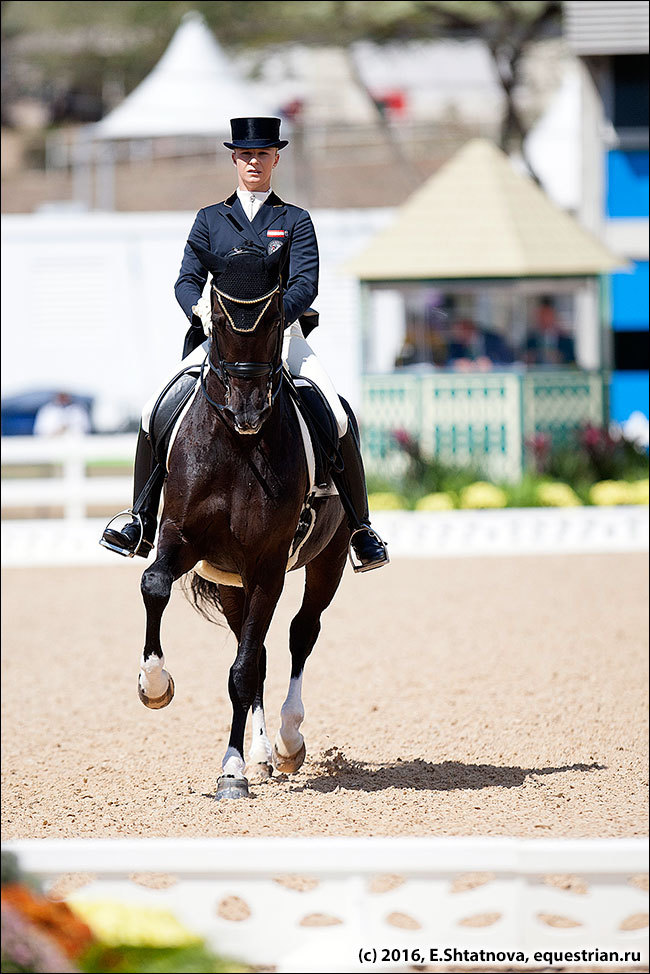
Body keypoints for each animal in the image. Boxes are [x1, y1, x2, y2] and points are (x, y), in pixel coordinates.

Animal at [137, 244, 350, 800]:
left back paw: (288, 743)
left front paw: (231, 772)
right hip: (229, 583)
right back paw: (262, 754)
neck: (235, 446)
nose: (247, 412)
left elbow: (243, 669)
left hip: (329, 558)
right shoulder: (181, 540)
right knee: (259, 653)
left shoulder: (267, 566)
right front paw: (154, 685)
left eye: (275, 317)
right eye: (217, 318)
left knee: (300, 633)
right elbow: (154, 584)